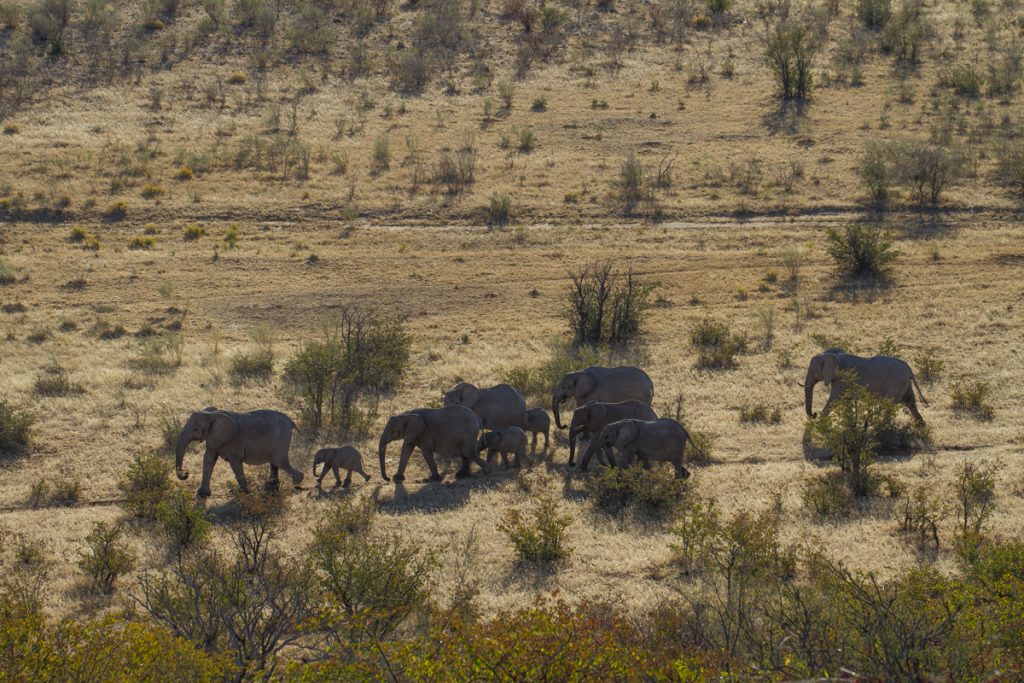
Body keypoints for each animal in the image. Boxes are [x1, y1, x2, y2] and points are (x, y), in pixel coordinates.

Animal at [798, 352, 929, 421]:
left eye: (812, 371)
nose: (814, 414)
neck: (834, 356)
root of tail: (909, 369)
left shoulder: (841, 380)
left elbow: (834, 400)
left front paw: (821, 423)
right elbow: (846, 401)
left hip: (897, 384)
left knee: (890, 405)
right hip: (905, 385)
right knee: (910, 403)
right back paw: (921, 426)